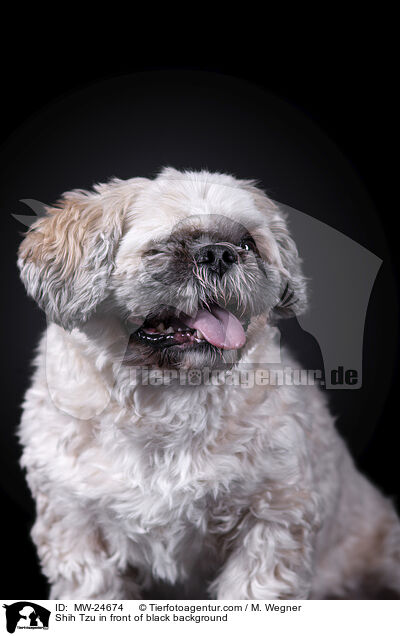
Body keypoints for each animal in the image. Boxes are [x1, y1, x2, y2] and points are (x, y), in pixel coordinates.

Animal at [17, 168, 400, 596]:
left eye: (247, 243)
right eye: (162, 247)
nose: (219, 254)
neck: (164, 399)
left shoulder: (274, 515)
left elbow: (251, 590)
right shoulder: (75, 527)